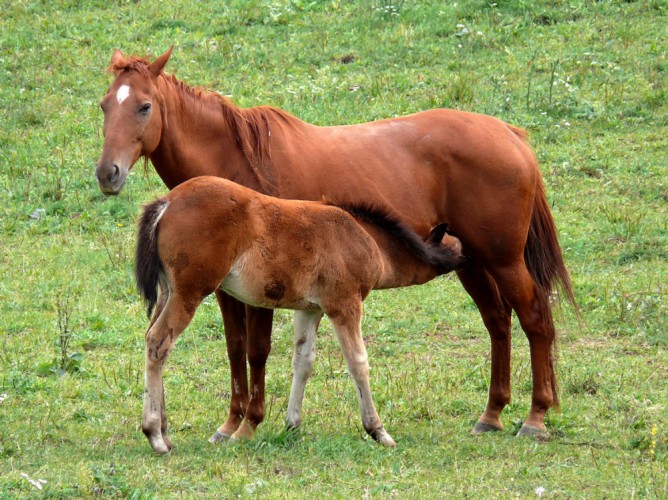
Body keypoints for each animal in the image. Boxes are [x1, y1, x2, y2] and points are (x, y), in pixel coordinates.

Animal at [137, 176, 464, 454]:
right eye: (456, 247)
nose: (468, 259)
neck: (365, 238)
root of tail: (166, 202)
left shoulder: (310, 310)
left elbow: (303, 362)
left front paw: (292, 424)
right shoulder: (343, 304)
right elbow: (358, 362)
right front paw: (378, 430)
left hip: (168, 293)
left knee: (153, 340)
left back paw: (165, 432)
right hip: (189, 293)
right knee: (158, 343)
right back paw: (155, 435)